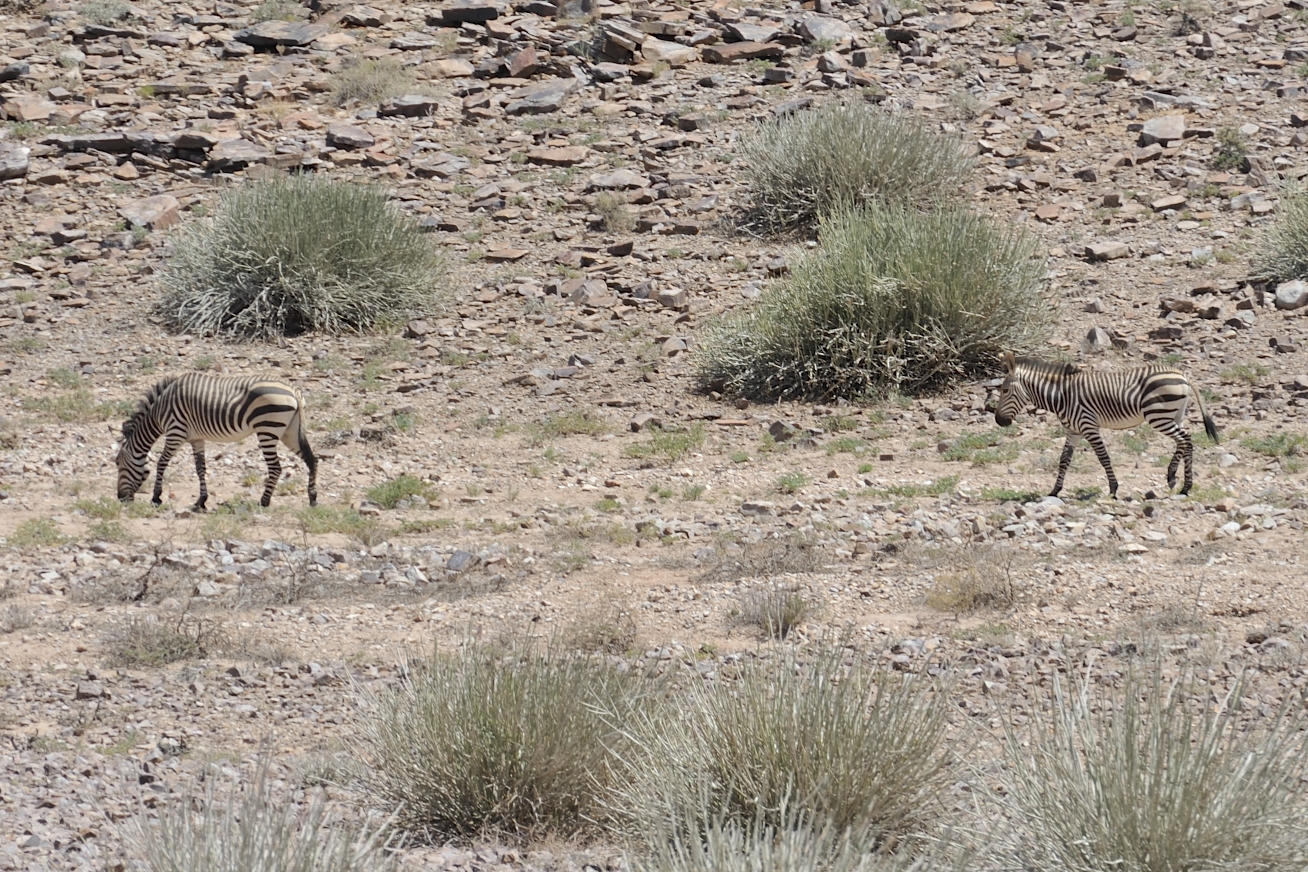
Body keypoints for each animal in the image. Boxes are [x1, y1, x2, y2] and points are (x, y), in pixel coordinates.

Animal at [119, 376, 320, 512]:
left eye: (119, 466)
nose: (120, 498)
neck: (159, 411)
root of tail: (293, 390)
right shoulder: (196, 438)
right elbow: (200, 468)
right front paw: (201, 501)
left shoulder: (176, 431)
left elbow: (161, 463)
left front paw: (156, 497)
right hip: (289, 432)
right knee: (312, 460)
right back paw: (312, 499)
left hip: (267, 429)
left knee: (276, 467)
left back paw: (264, 502)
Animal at [994, 350, 1219, 496]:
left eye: (1005, 390)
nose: (998, 421)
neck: (1062, 396)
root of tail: (1182, 374)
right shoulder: (1073, 431)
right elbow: (1064, 460)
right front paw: (1055, 491)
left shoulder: (1088, 426)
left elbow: (1103, 458)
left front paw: (1113, 488)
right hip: (1174, 415)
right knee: (1184, 441)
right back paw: (1174, 478)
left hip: (1158, 416)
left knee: (1186, 439)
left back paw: (1185, 485)